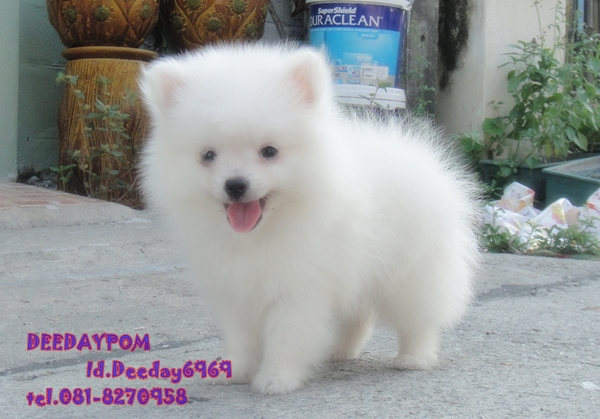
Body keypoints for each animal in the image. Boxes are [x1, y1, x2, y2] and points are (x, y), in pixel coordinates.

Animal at [139, 43, 480, 395]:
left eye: (269, 151)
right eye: (208, 155)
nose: (235, 185)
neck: (261, 234)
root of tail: (420, 160)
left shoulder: (298, 288)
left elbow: (287, 337)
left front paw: (276, 378)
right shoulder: (235, 289)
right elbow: (241, 337)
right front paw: (235, 370)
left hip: (412, 272)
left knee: (419, 319)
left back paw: (414, 357)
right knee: (358, 316)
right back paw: (342, 351)